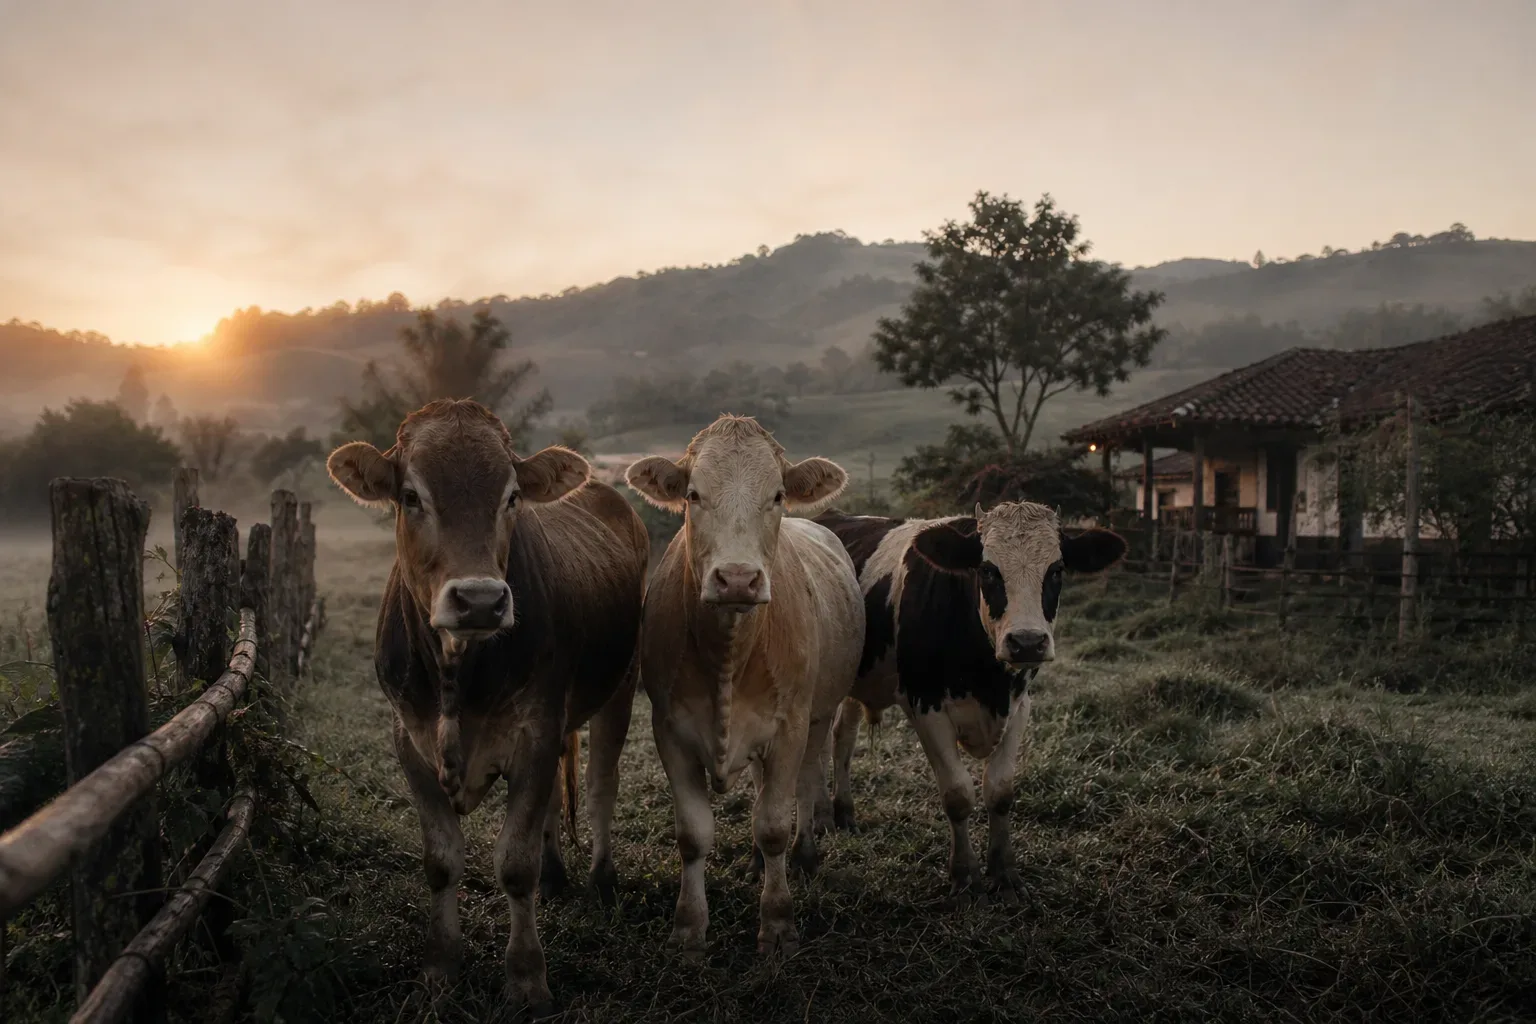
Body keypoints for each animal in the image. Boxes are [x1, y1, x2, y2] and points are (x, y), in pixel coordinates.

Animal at [325, 399, 648, 1015]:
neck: (457, 672)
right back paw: (557, 876)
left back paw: (601, 879)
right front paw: (439, 968)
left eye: (512, 496)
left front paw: (527, 980)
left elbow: (515, 864)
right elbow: (442, 860)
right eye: (411, 496)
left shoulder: (535, 732)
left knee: (601, 787)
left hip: (620, 685)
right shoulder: (410, 740)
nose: (479, 600)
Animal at [625, 414, 864, 957]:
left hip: (818, 716)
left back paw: (806, 854)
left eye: (777, 494)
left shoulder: (791, 725)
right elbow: (693, 834)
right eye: (693, 494)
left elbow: (774, 822)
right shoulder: (669, 730)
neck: (730, 657)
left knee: (805, 783)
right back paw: (756, 863)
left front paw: (777, 923)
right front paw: (689, 929)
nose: (737, 579)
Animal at [813, 502, 1126, 903]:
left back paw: (845, 813)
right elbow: (958, 794)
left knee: (843, 739)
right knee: (818, 746)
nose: (1027, 642)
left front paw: (1004, 872)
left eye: (1056, 570)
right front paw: (964, 875)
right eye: (988, 570)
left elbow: (1001, 790)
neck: (986, 678)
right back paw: (821, 817)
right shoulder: (924, 706)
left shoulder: (1019, 706)